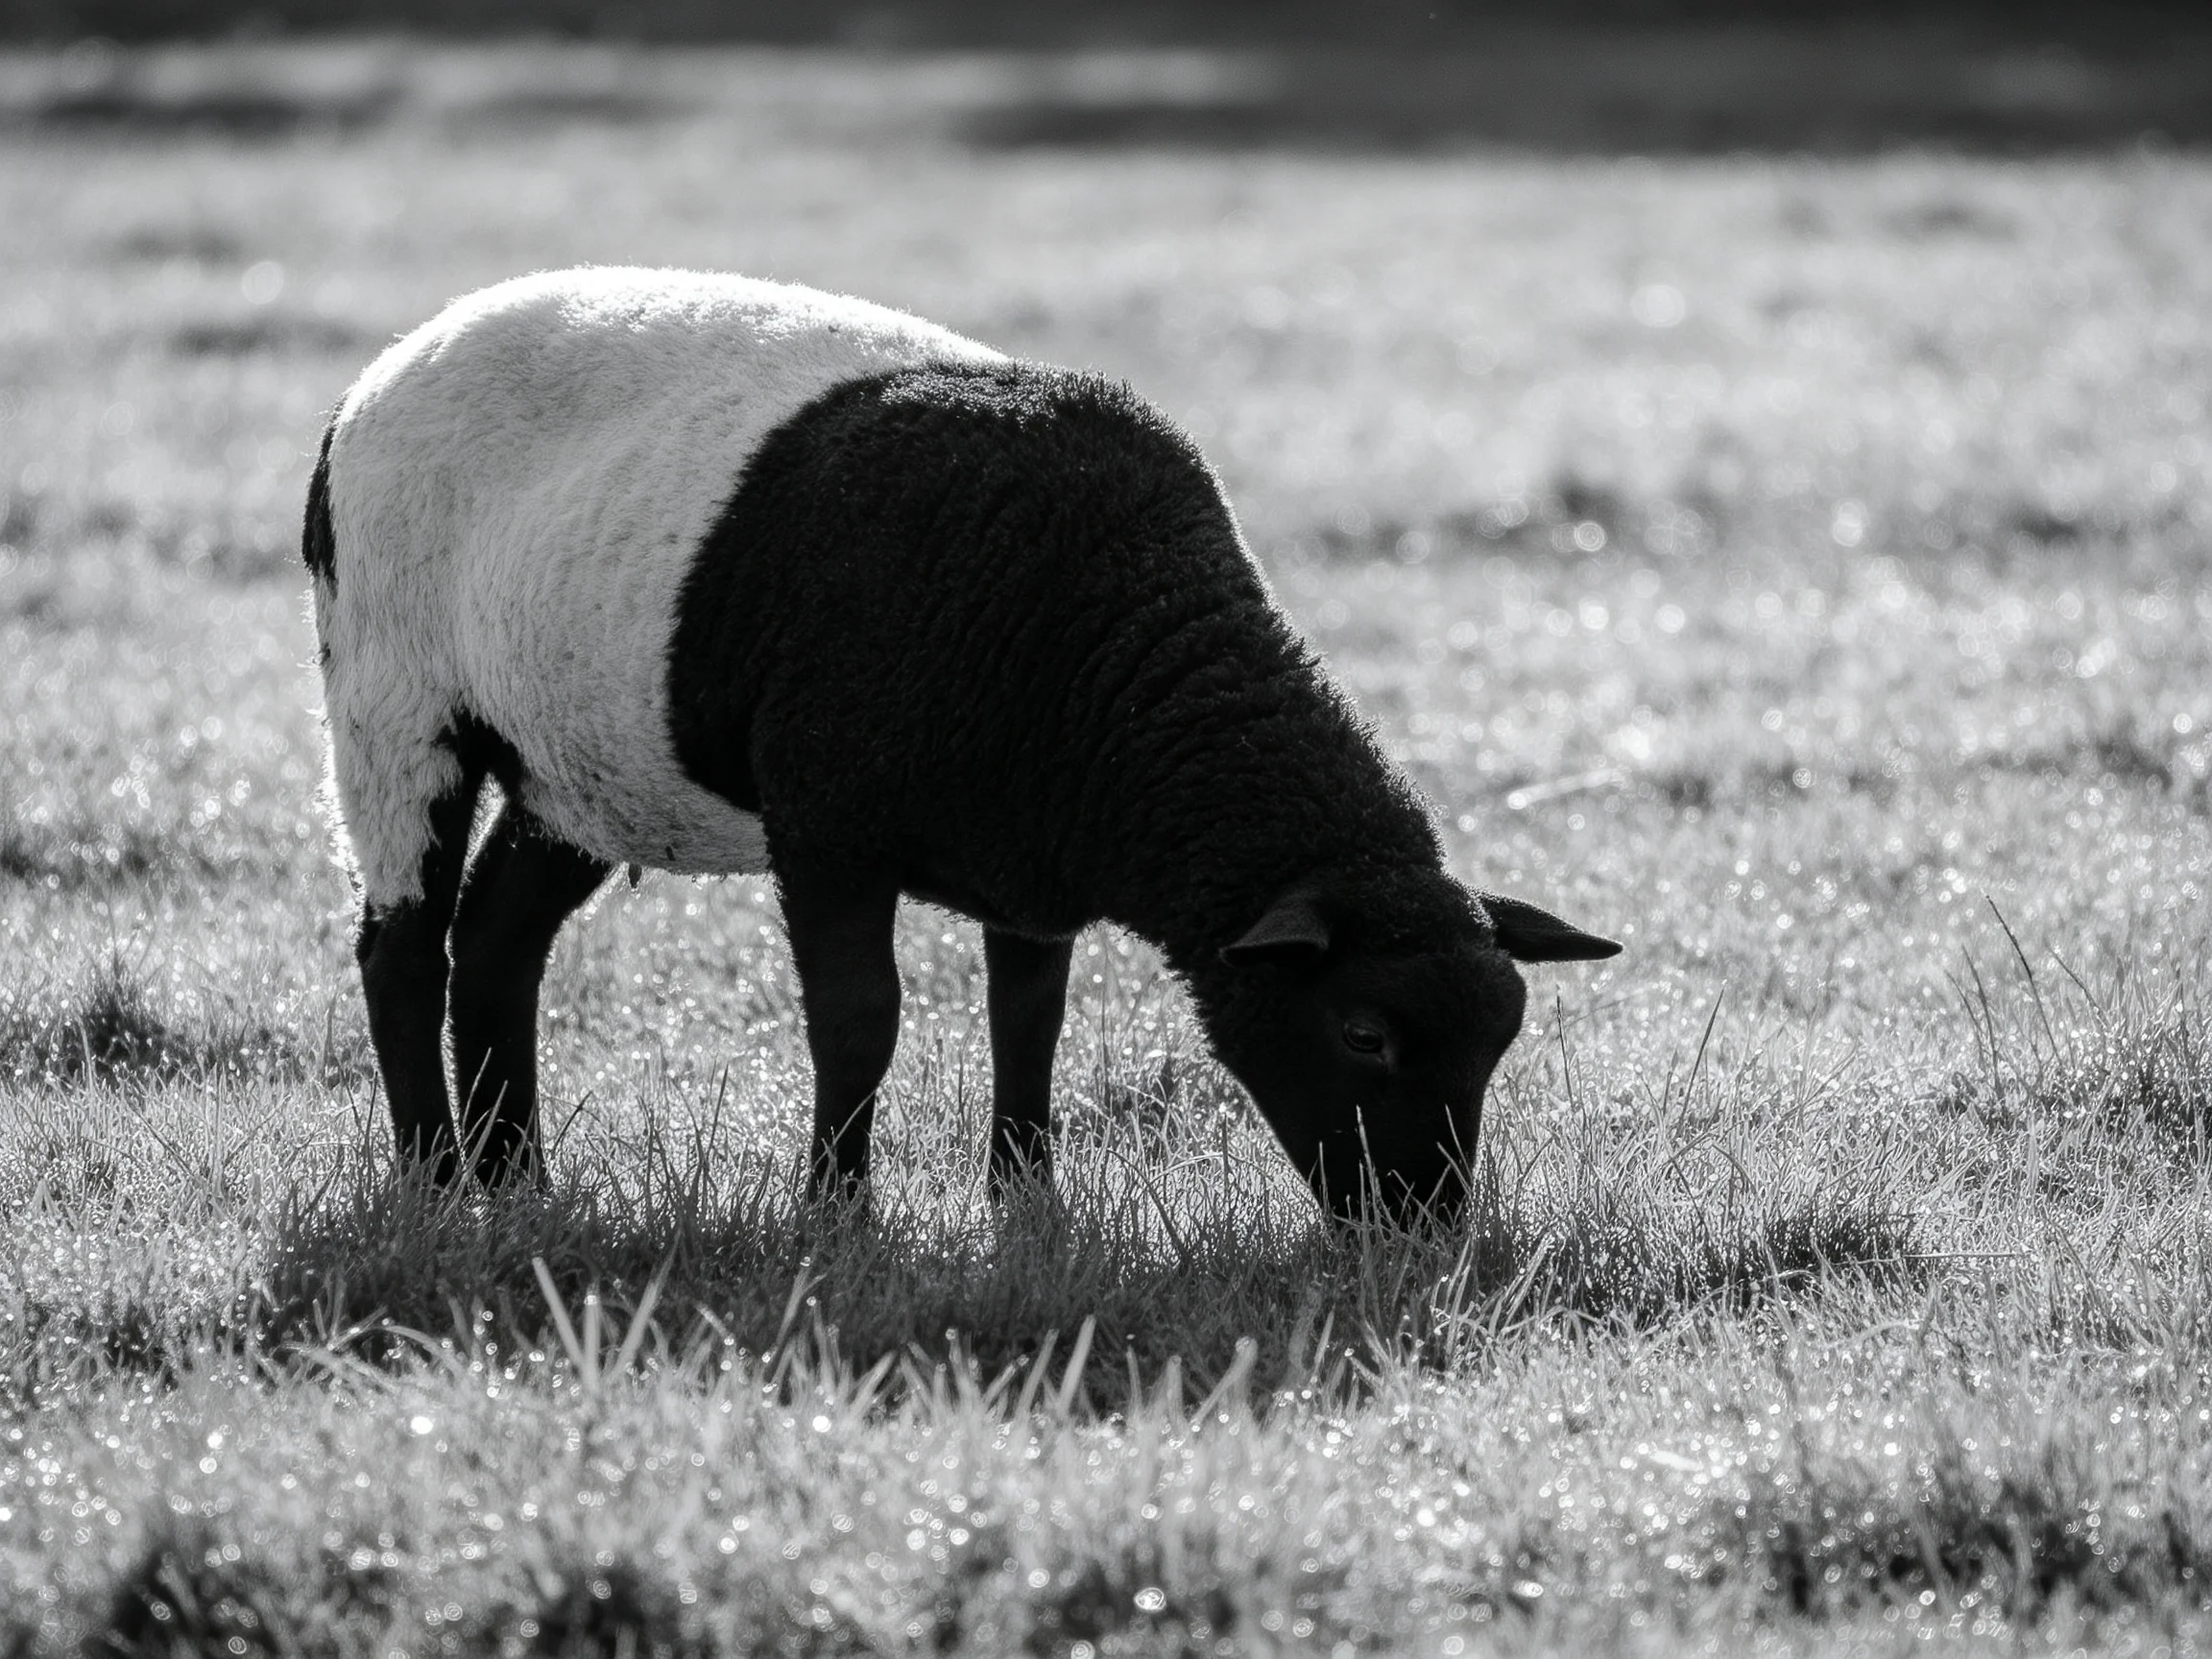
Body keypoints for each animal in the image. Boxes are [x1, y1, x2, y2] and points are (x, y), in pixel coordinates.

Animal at [304, 266, 1620, 1226]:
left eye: (1499, 1046)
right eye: (1362, 1035)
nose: (1425, 1228)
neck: (1112, 651)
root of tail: (380, 374)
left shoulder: (1031, 859)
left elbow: (1028, 1020)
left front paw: (1025, 1201)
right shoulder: (828, 827)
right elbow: (860, 1020)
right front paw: (837, 1213)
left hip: (585, 758)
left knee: (500, 942)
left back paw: (517, 1180)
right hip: (392, 694)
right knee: (403, 948)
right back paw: (436, 1179)